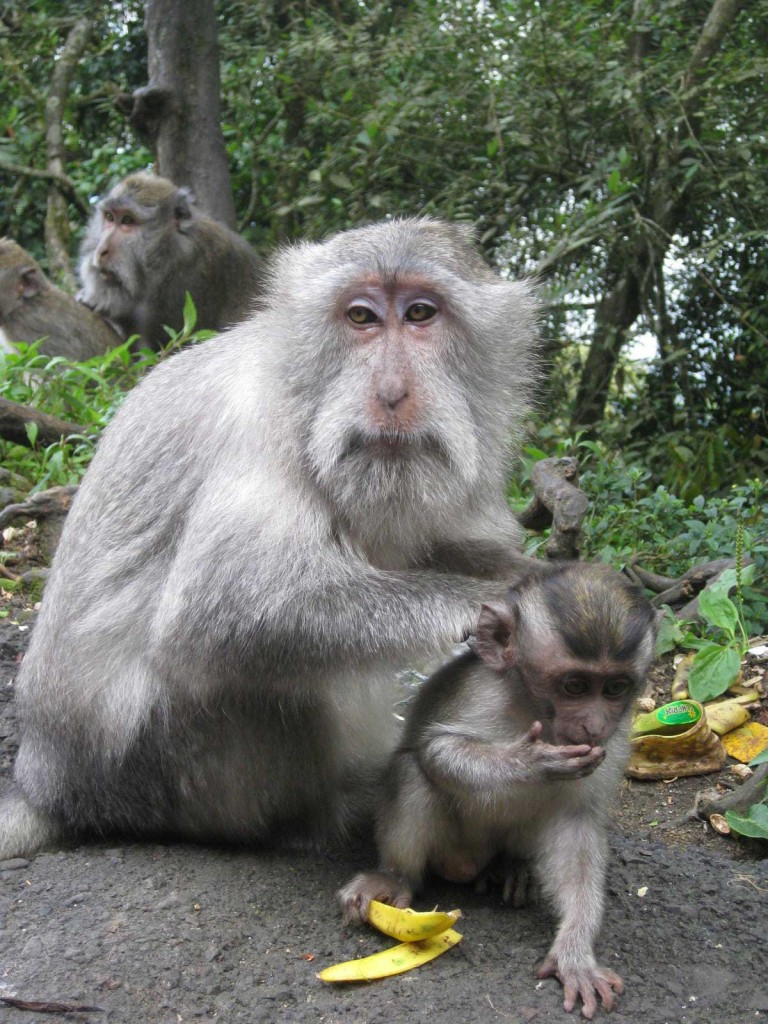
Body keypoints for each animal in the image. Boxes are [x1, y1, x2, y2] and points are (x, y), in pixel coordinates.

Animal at [0, 216, 544, 864]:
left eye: (419, 314)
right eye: (360, 317)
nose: (389, 392)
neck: (308, 390)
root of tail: (48, 784)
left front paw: (525, 572)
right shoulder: (258, 427)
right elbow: (214, 616)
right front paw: (488, 604)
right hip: (169, 772)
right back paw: (325, 815)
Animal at [339, 565, 659, 1019]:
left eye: (615, 688)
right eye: (575, 686)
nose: (594, 725)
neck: (531, 706)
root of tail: (466, 865)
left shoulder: (612, 744)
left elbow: (576, 824)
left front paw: (575, 953)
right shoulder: (480, 694)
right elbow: (437, 751)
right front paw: (531, 762)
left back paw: (512, 866)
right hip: (448, 848)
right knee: (413, 771)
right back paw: (395, 876)